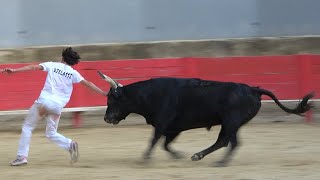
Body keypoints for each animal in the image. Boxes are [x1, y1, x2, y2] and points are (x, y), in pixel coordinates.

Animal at [99, 71, 314, 166]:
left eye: (112, 100)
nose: (106, 119)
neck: (149, 95)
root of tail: (253, 89)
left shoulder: (162, 124)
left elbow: (154, 141)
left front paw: (144, 159)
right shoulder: (173, 128)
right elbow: (165, 144)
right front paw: (178, 156)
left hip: (231, 122)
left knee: (233, 142)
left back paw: (221, 162)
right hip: (228, 124)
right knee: (223, 141)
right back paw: (198, 155)